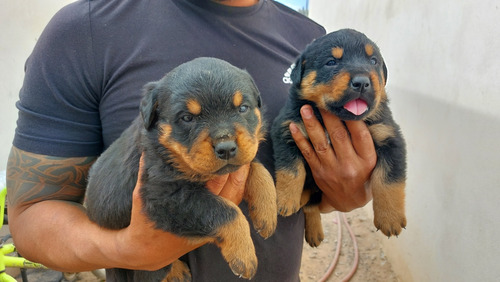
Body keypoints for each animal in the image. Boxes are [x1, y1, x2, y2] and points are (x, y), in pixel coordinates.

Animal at [85, 56, 278, 280]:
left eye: (243, 108)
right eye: (187, 118)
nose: (226, 148)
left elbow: (257, 167)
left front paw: (267, 211)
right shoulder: (165, 196)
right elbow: (225, 210)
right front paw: (244, 255)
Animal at [272, 29, 408, 247]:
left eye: (373, 61)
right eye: (331, 62)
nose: (362, 82)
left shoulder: (390, 137)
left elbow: (388, 180)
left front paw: (391, 218)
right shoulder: (286, 129)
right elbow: (290, 170)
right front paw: (285, 200)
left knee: (311, 205)